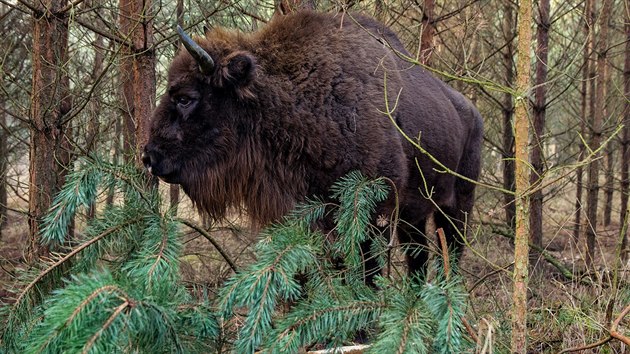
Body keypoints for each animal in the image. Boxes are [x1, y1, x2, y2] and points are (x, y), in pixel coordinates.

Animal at [144, 9, 484, 278]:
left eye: (185, 98)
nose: (149, 157)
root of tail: (471, 112)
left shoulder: (366, 211)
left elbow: (366, 271)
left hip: (458, 204)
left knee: (451, 251)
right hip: (413, 216)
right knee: (419, 259)